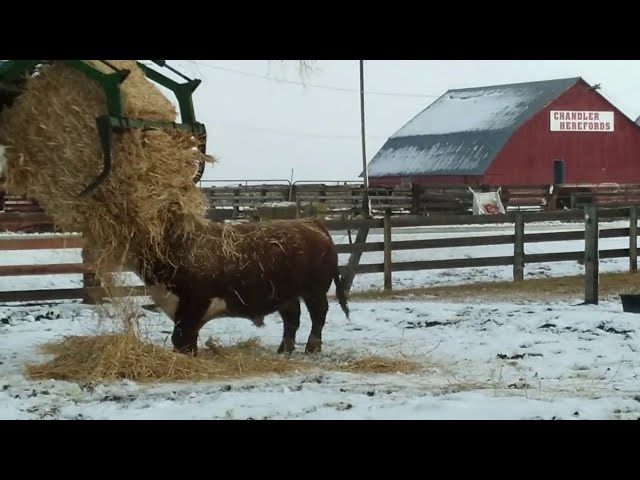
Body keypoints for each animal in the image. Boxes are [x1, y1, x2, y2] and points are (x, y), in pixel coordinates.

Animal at [128, 218, 350, 356]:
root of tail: (311, 223)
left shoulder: (195, 302)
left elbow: (182, 337)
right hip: (286, 295)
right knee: (292, 319)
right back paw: (284, 349)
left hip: (315, 291)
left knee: (318, 315)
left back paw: (312, 347)